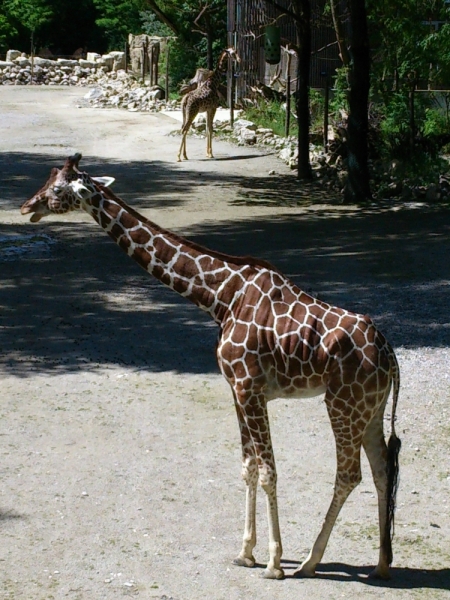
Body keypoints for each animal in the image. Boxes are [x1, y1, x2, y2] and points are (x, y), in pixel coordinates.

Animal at [21, 155, 400, 580]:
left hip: (342, 404)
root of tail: (390, 355)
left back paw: (309, 561)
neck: (220, 298)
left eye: (57, 189)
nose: (26, 206)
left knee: (350, 474)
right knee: (383, 469)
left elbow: (268, 470)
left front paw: (273, 563)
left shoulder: (250, 387)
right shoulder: (236, 389)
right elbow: (248, 466)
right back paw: (381, 565)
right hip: (371, 408)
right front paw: (245, 552)